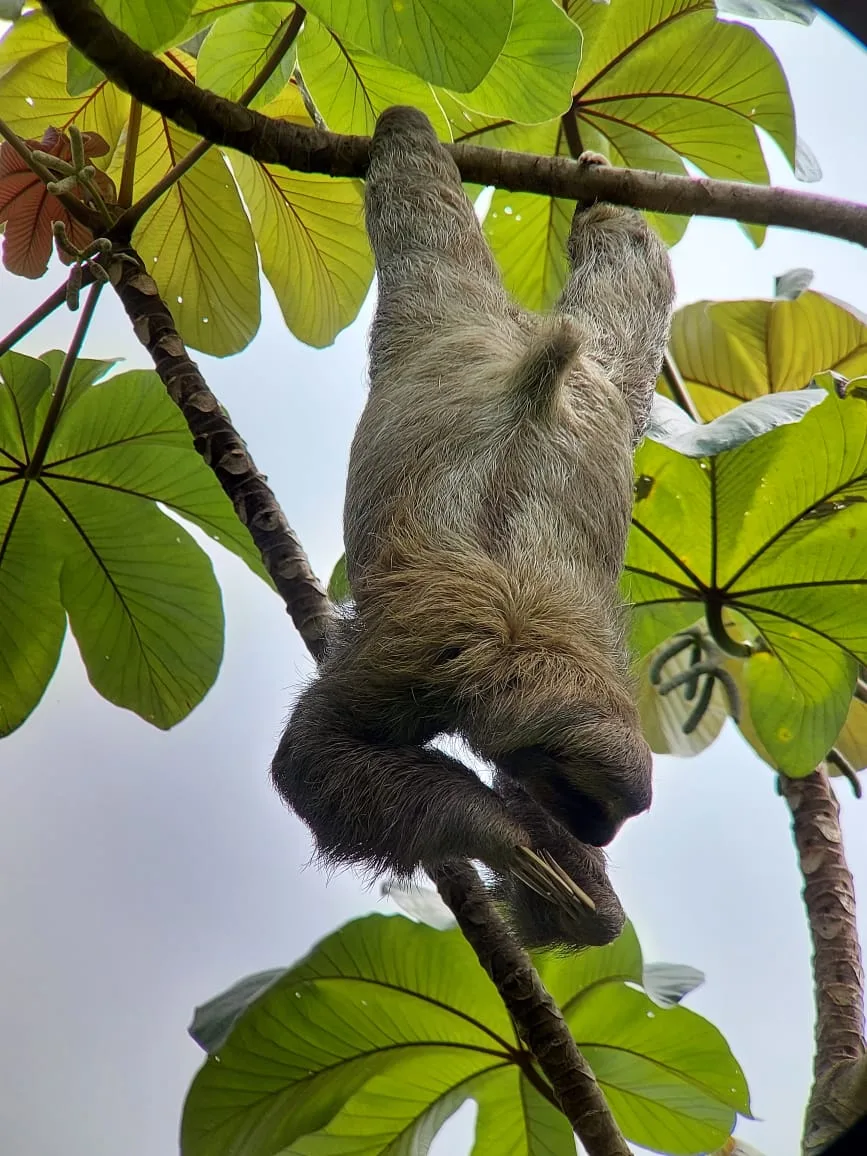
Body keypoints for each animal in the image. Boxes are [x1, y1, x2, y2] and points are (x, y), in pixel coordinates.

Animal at [271, 106, 675, 950]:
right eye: (578, 793)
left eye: (610, 811)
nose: (597, 833)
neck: (519, 624)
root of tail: (520, 337)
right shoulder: (418, 654)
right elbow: (313, 755)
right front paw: (505, 839)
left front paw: (577, 892)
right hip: (440, 321)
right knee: (418, 213)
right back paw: (406, 124)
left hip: (588, 382)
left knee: (621, 289)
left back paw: (599, 197)